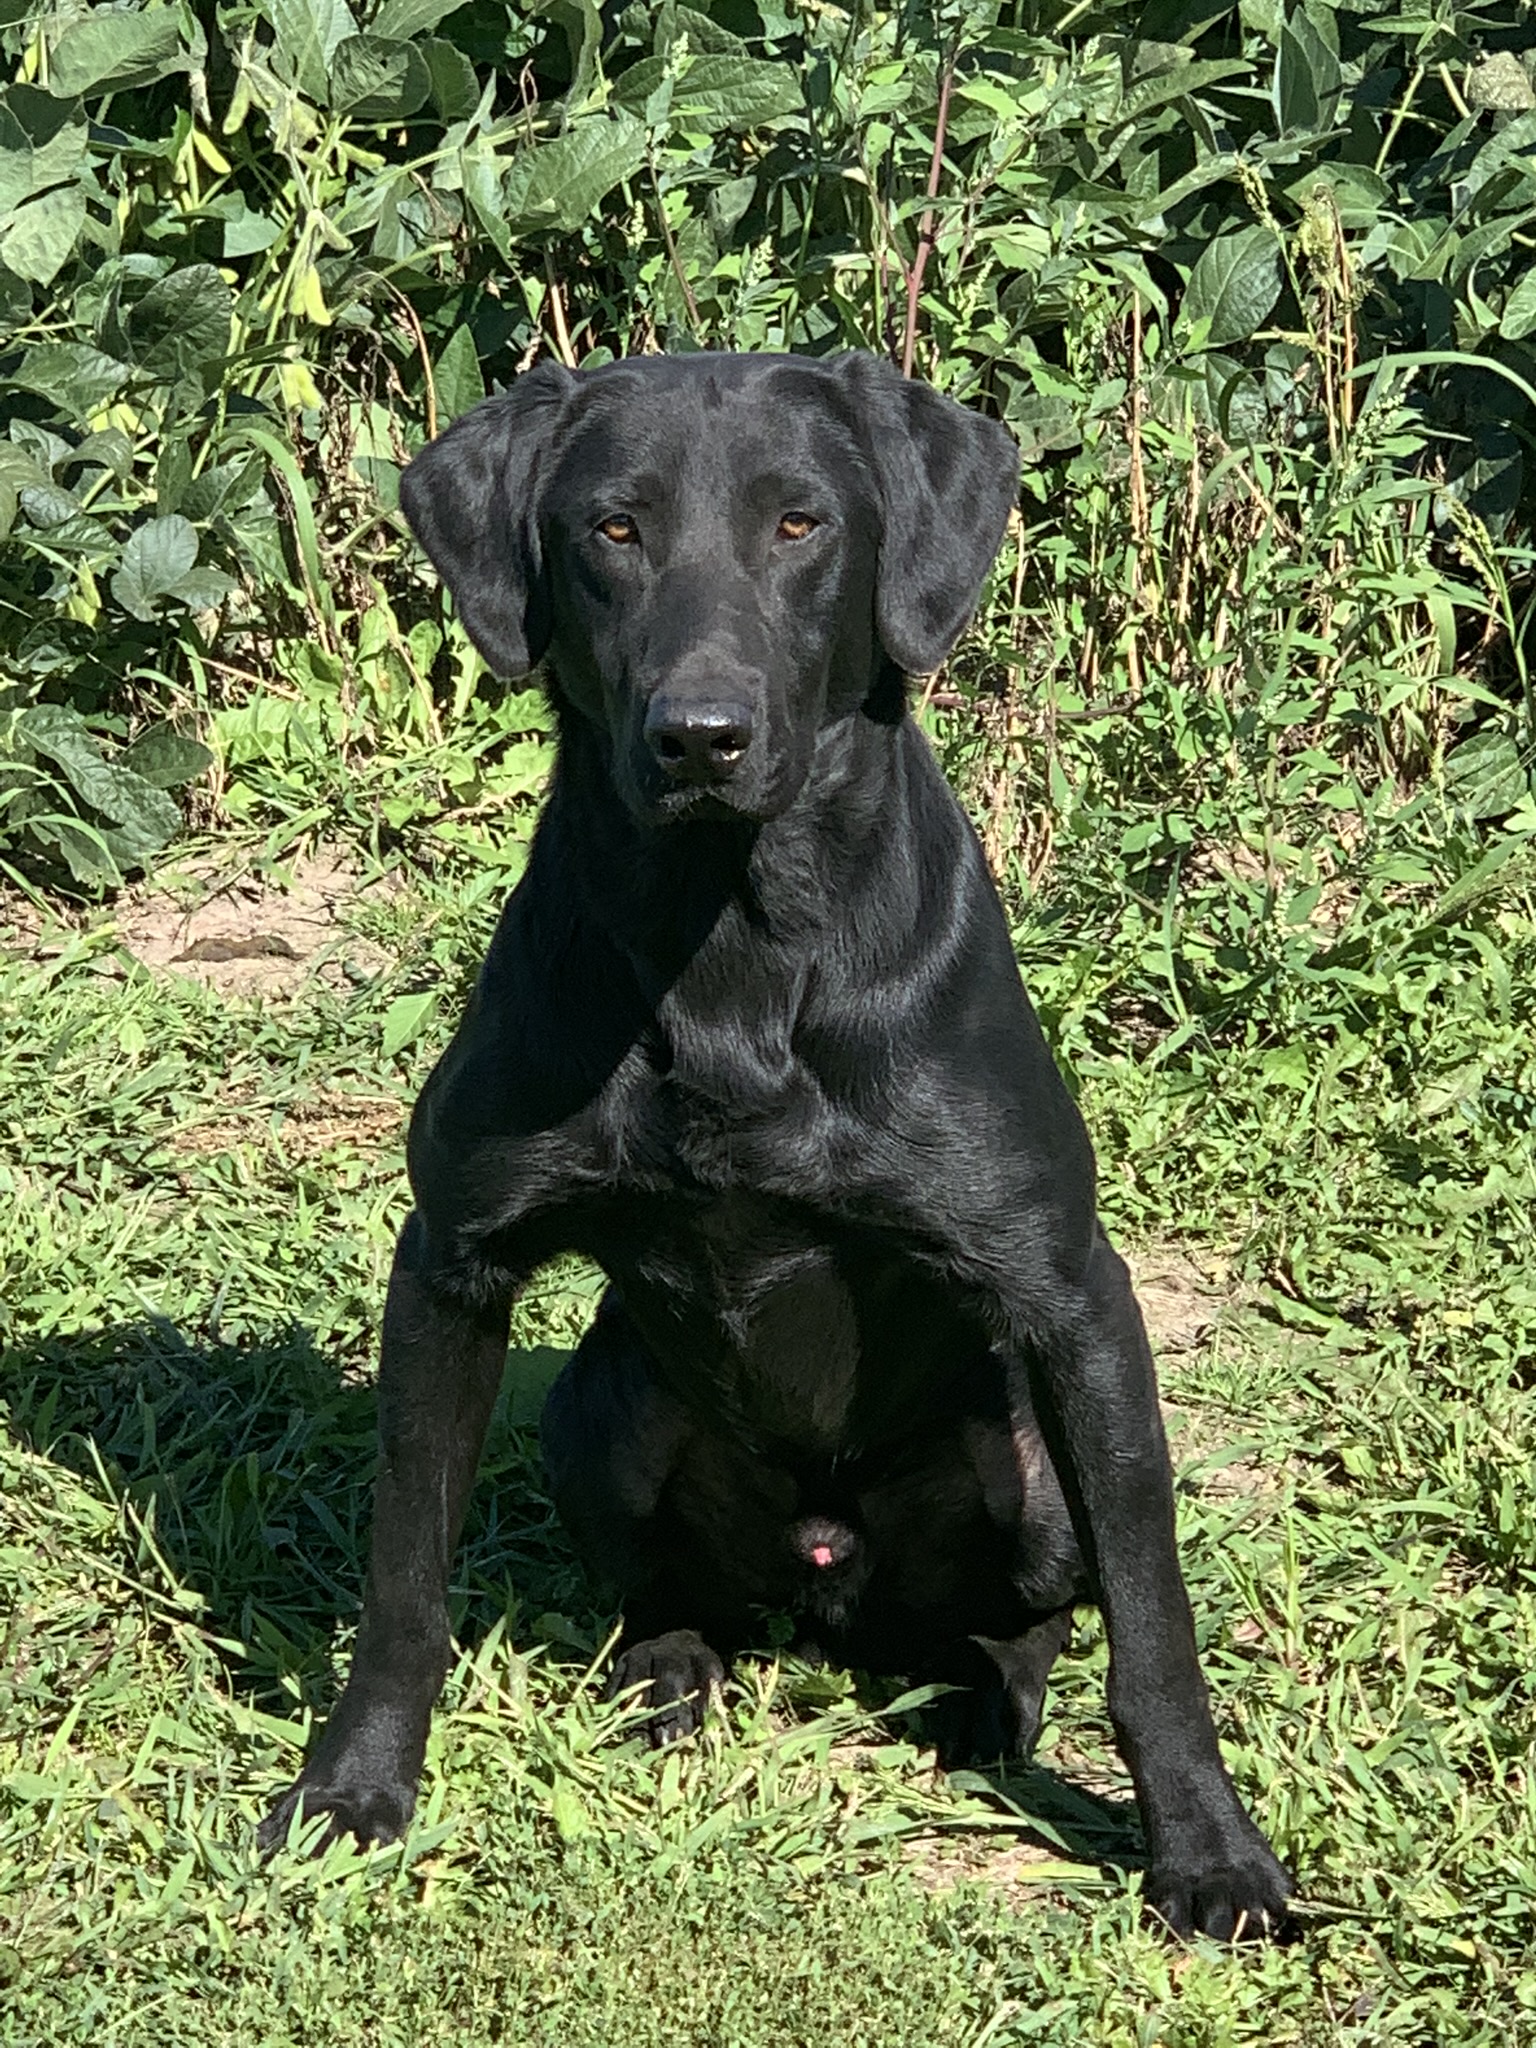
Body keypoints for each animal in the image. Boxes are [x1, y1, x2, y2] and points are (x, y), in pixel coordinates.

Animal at [259, 348, 1294, 1933]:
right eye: (613, 529)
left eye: (800, 524)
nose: (701, 736)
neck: (730, 938)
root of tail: (825, 1584)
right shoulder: (452, 1261)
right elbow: (403, 1581)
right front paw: (355, 1788)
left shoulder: (1077, 1299)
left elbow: (1153, 1632)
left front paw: (1209, 1853)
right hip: (600, 1416)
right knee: (670, 1588)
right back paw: (669, 1671)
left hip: (1036, 1466)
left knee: (1033, 1619)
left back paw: (983, 1703)